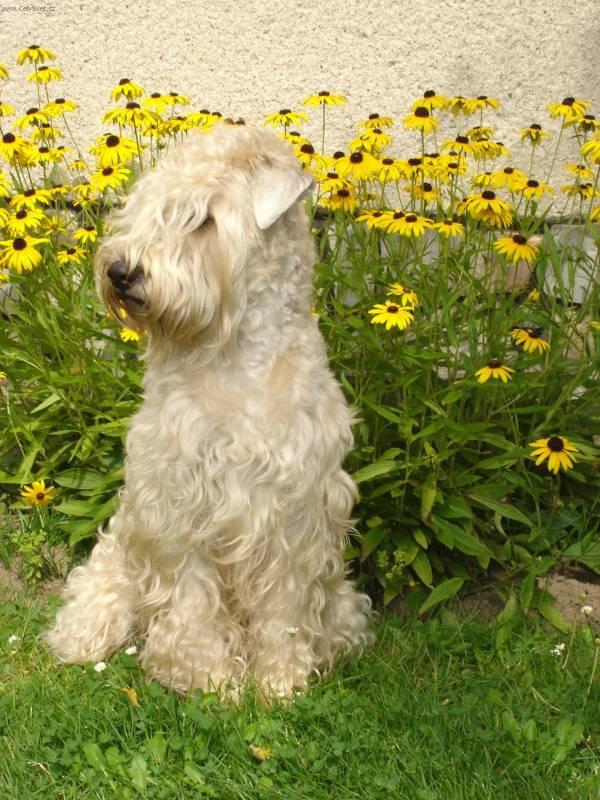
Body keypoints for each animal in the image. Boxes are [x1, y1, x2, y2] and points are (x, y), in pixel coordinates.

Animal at [47, 122, 372, 696]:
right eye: (144, 207)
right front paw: (205, 675)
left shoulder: (296, 510)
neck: (235, 360)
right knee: (99, 596)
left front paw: (280, 681)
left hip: (343, 599)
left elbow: (285, 605)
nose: (120, 270)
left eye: (202, 218)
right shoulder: (177, 499)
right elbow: (191, 596)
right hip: (116, 555)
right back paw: (80, 639)